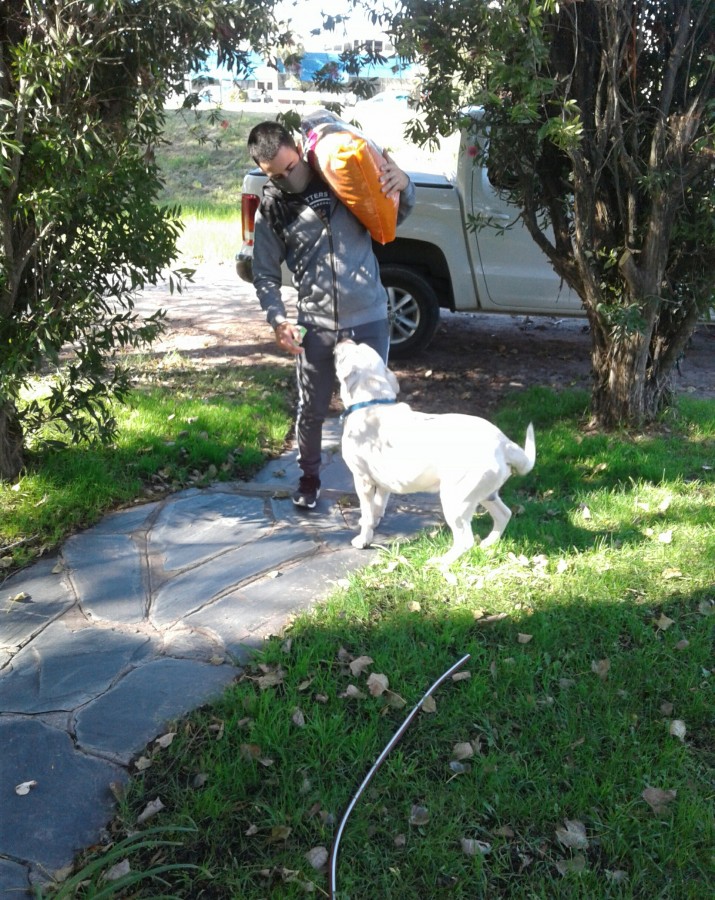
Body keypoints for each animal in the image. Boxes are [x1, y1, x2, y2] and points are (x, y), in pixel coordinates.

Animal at [336, 342, 536, 564]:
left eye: (348, 351)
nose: (344, 340)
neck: (373, 401)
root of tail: (504, 444)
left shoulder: (362, 479)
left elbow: (367, 512)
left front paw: (363, 539)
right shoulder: (382, 483)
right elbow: (376, 509)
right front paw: (372, 526)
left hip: (455, 498)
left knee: (465, 540)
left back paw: (440, 563)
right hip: (485, 494)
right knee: (504, 514)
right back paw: (486, 544)